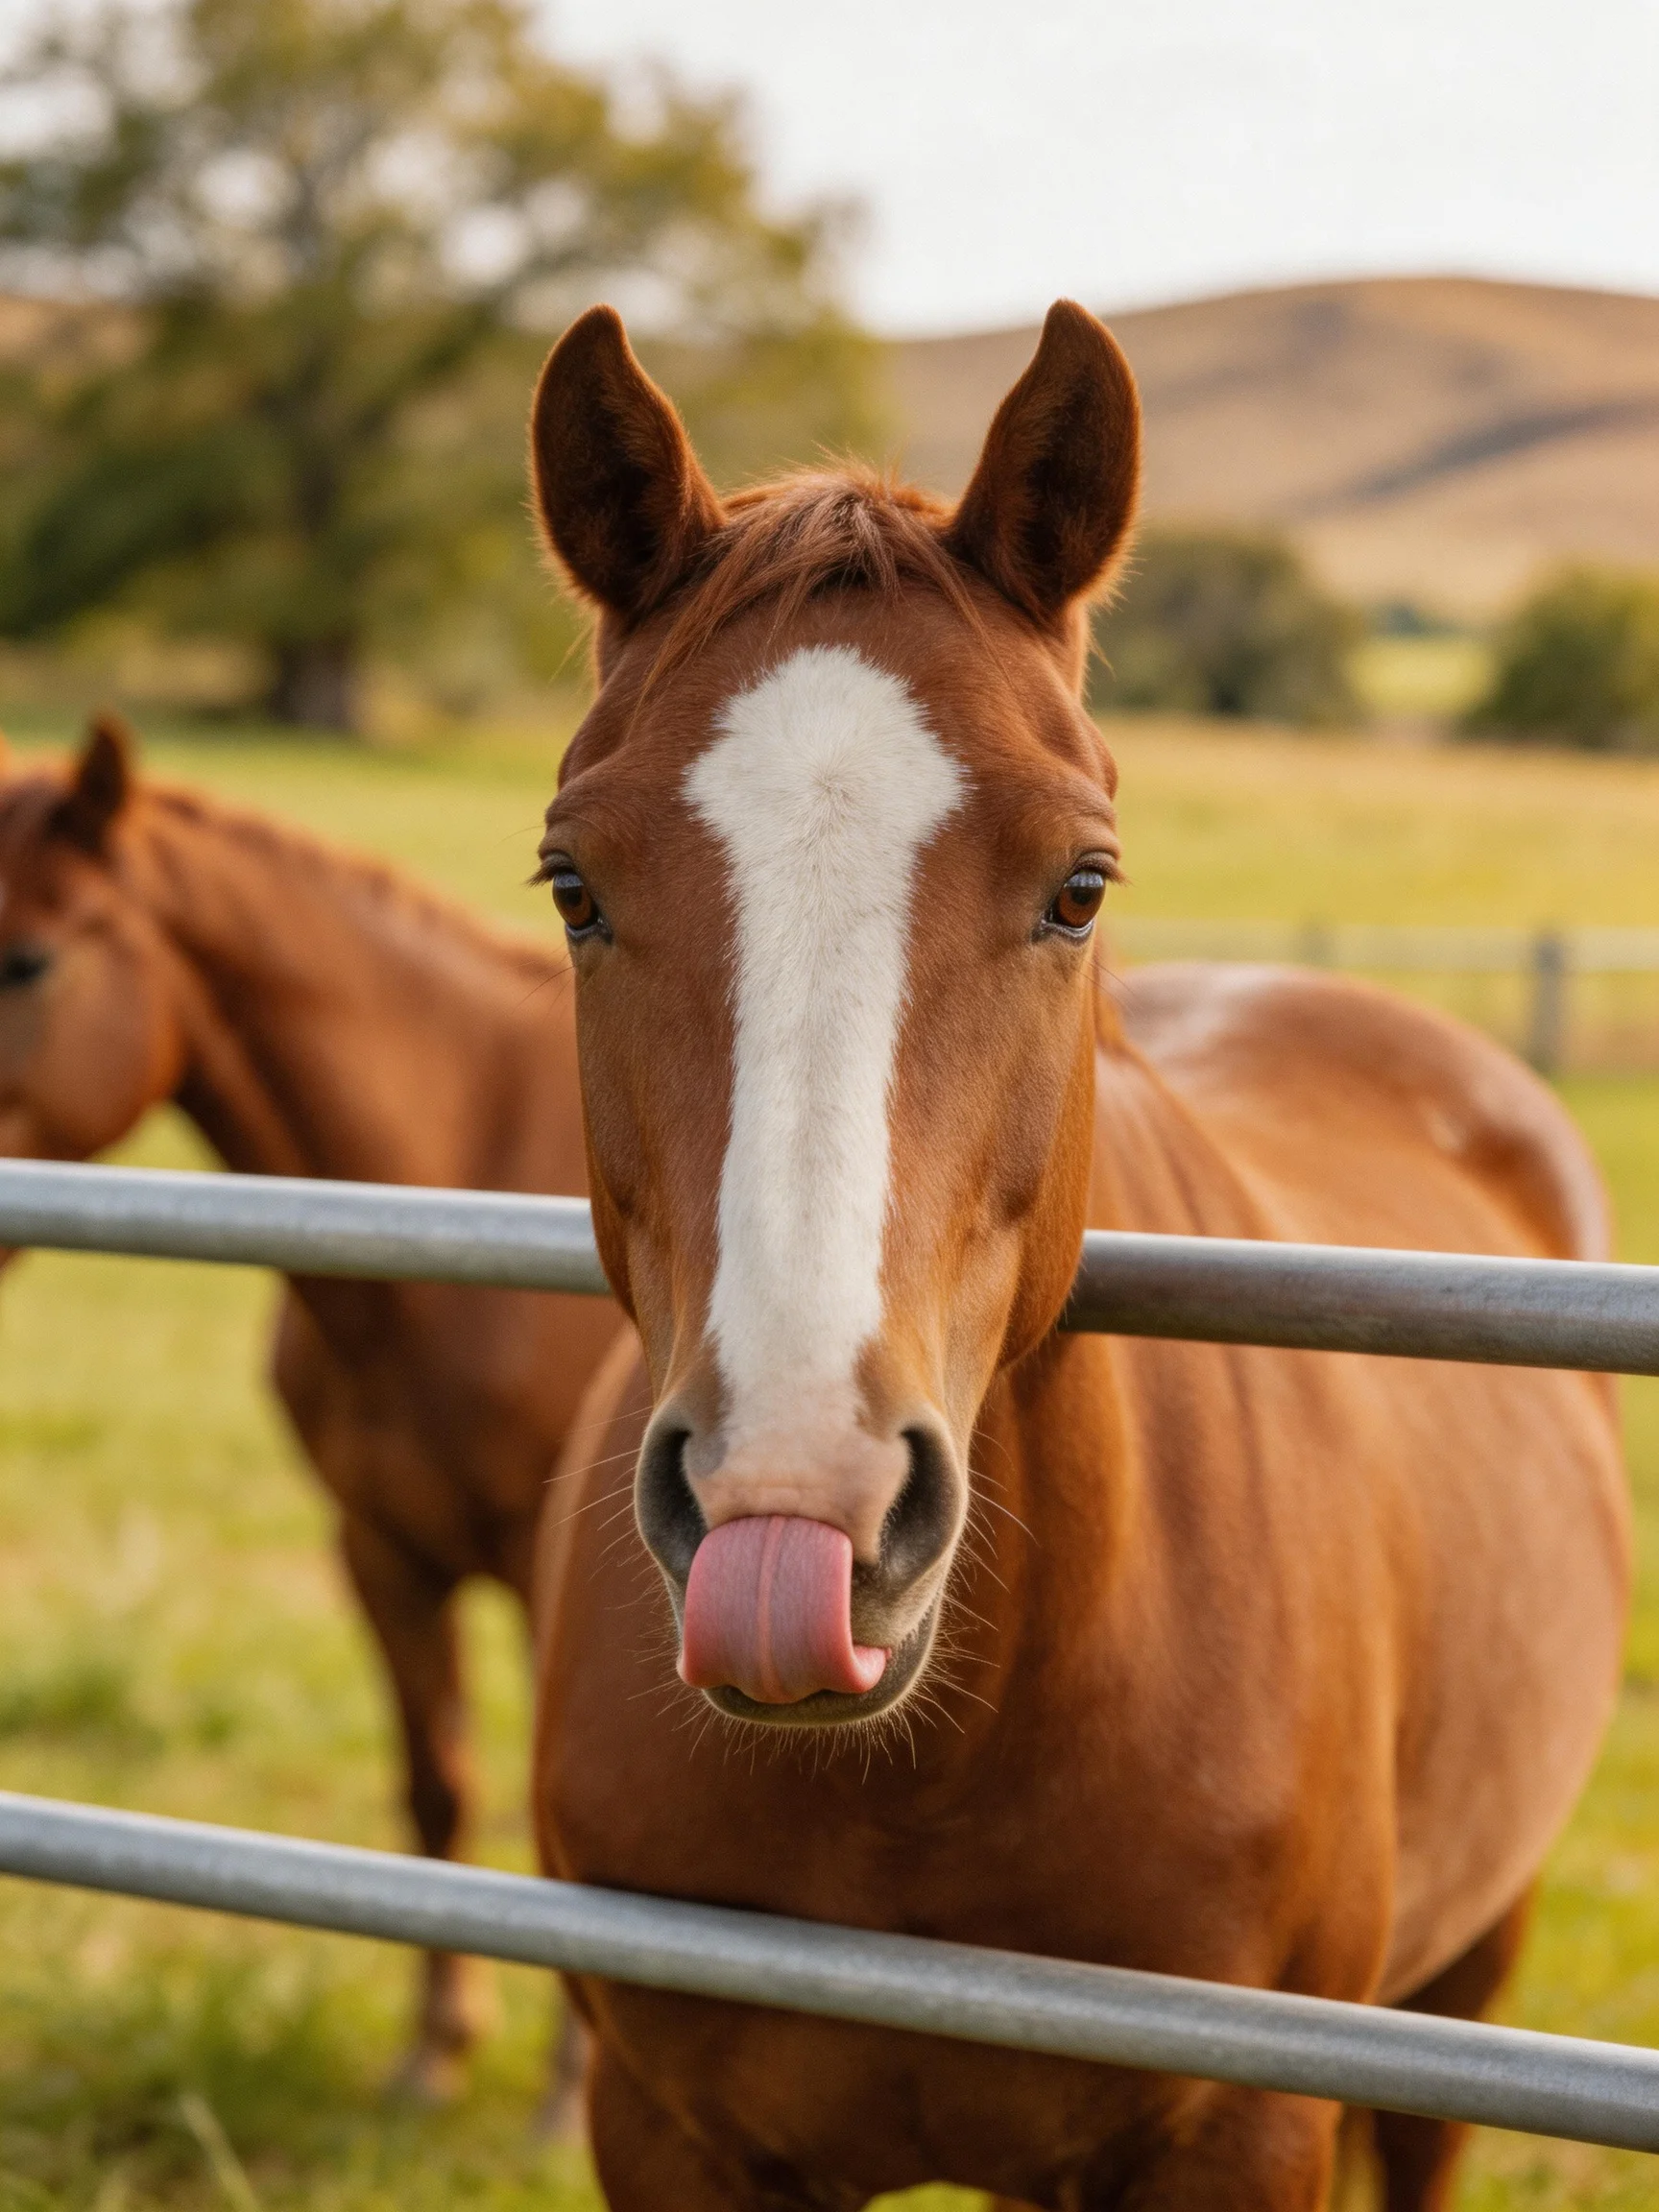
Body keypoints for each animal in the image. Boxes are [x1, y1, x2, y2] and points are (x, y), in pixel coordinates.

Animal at [0, 724, 624, 2101]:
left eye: (30, 960)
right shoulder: (380, 1550)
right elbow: (438, 1786)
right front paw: (434, 2059)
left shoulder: (560, 1575)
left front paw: (565, 2096)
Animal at [525, 300, 1630, 2210]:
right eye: (573, 886)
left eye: (1081, 886)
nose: (798, 1494)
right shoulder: (665, 2124)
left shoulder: (1242, 2130)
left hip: (1464, 1969)